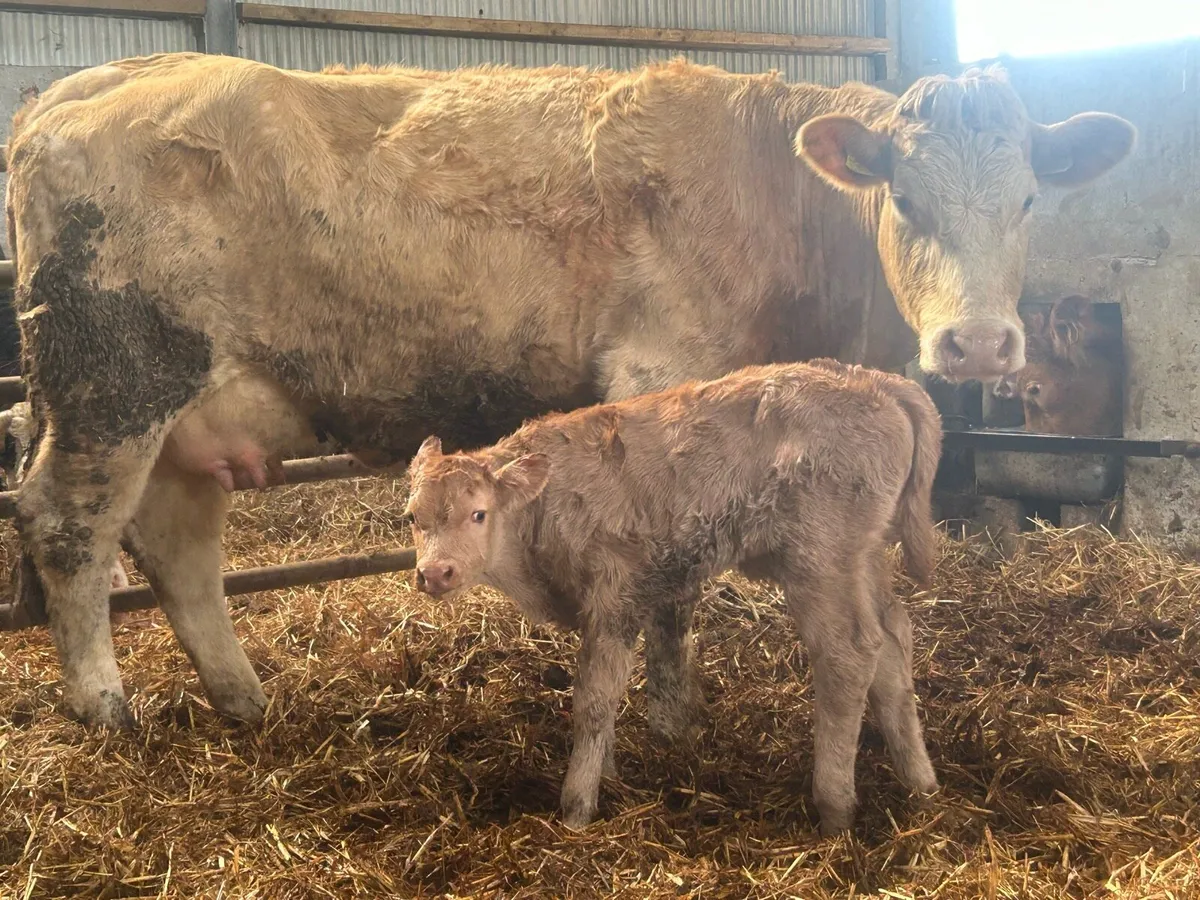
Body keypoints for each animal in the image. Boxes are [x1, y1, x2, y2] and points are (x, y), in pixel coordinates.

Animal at [405, 359, 942, 834]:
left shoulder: (614, 600)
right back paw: (921, 784)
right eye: (413, 516)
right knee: (892, 641)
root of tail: (873, 380)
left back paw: (834, 808)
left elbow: (593, 698)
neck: (540, 507)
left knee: (848, 654)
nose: (435, 573)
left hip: (820, 562)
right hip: (864, 557)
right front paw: (609, 772)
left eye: (478, 513)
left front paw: (578, 807)